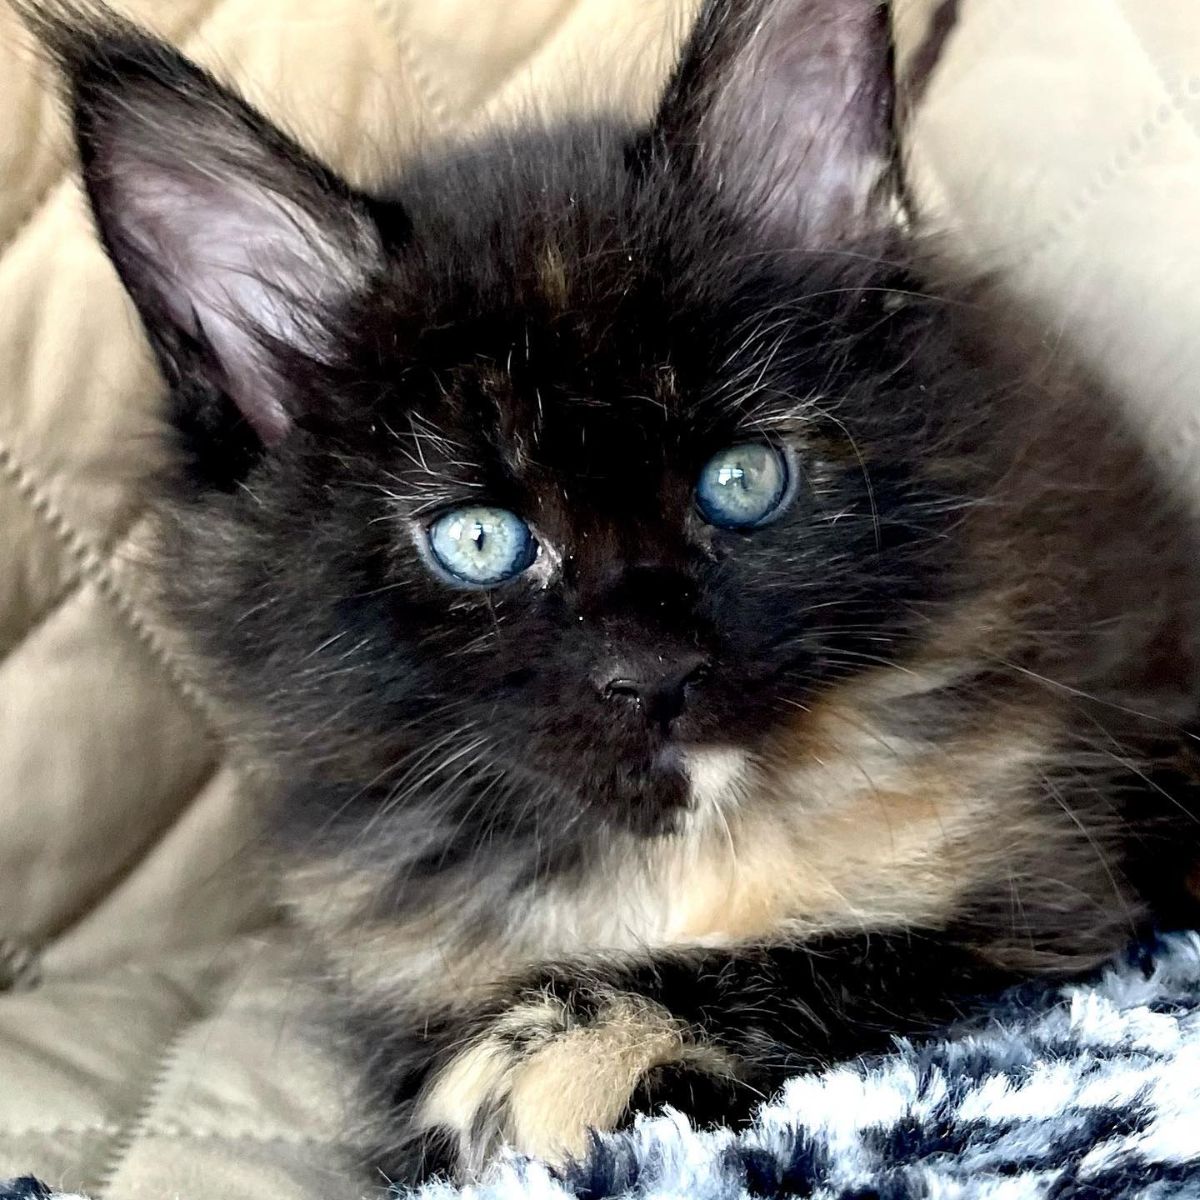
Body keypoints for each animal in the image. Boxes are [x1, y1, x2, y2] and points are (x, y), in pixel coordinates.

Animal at [25, 0, 1200, 1185]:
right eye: (480, 540)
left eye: (743, 481)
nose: (655, 675)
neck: (674, 855)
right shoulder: (397, 966)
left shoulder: (1044, 902)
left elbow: (834, 953)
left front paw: (561, 1046)